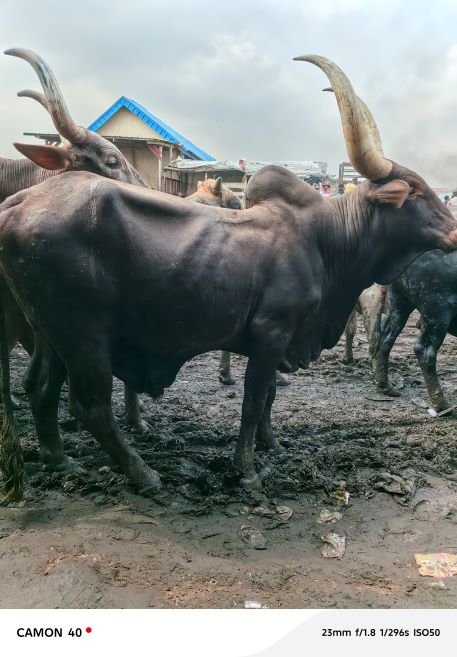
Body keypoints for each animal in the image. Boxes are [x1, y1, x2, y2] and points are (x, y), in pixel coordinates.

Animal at [373, 250, 457, 411]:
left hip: (399, 300)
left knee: (386, 338)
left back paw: (385, 386)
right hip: (437, 311)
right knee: (425, 350)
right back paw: (442, 404)